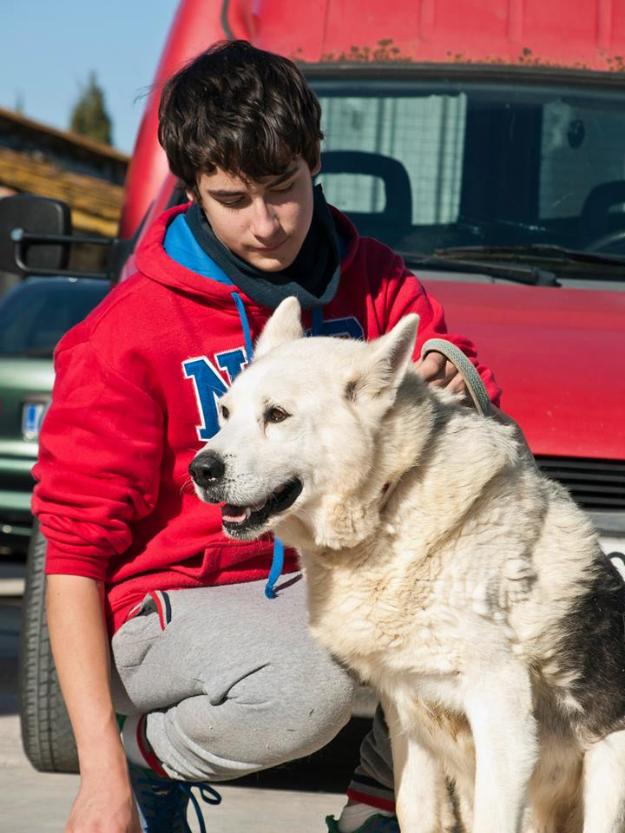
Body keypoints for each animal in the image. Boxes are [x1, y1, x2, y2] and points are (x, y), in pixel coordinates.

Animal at [189, 296, 624, 828]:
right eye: (225, 412)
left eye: (277, 414)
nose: (201, 470)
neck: (390, 501)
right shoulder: (405, 710)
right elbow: (412, 807)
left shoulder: (502, 711)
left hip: (609, 772)